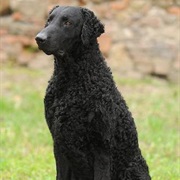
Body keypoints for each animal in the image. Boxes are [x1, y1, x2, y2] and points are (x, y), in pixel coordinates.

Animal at [35, 5, 150, 180]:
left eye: (67, 22)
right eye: (49, 20)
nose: (39, 38)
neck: (70, 81)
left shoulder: (102, 147)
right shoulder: (59, 144)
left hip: (132, 169)